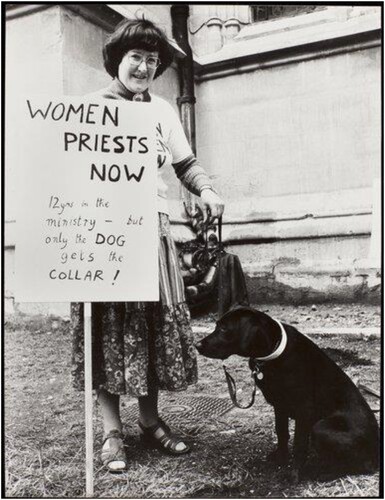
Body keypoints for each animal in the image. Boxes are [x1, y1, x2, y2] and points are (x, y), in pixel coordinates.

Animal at [195, 304, 378, 476]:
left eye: (224, 329)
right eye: (217, 325)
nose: (196, 345)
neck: (271, 355)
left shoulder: (304, 411)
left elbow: (299, 444)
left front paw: (294, 475)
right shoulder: (279, 405)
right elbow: (281, 432)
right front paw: (281, 457)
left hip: (320, 428)